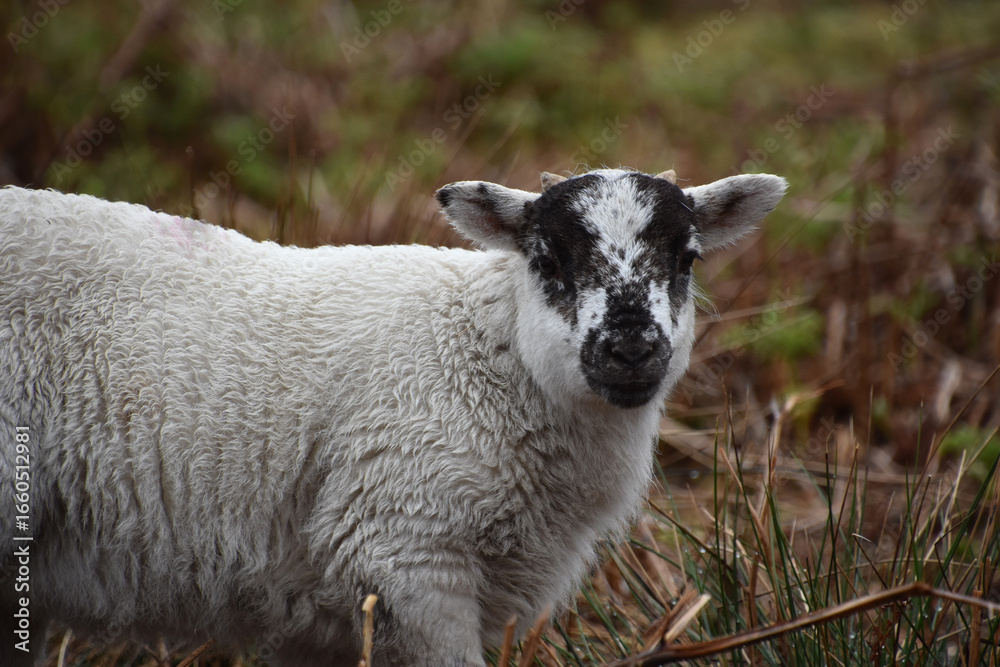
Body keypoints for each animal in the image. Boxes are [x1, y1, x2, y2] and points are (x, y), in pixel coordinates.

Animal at [0, 168, 786, 666]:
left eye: (686, 260)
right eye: (548, 261)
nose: (630, 348)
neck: (491, 357)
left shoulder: (316, 615)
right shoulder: (405, 550)